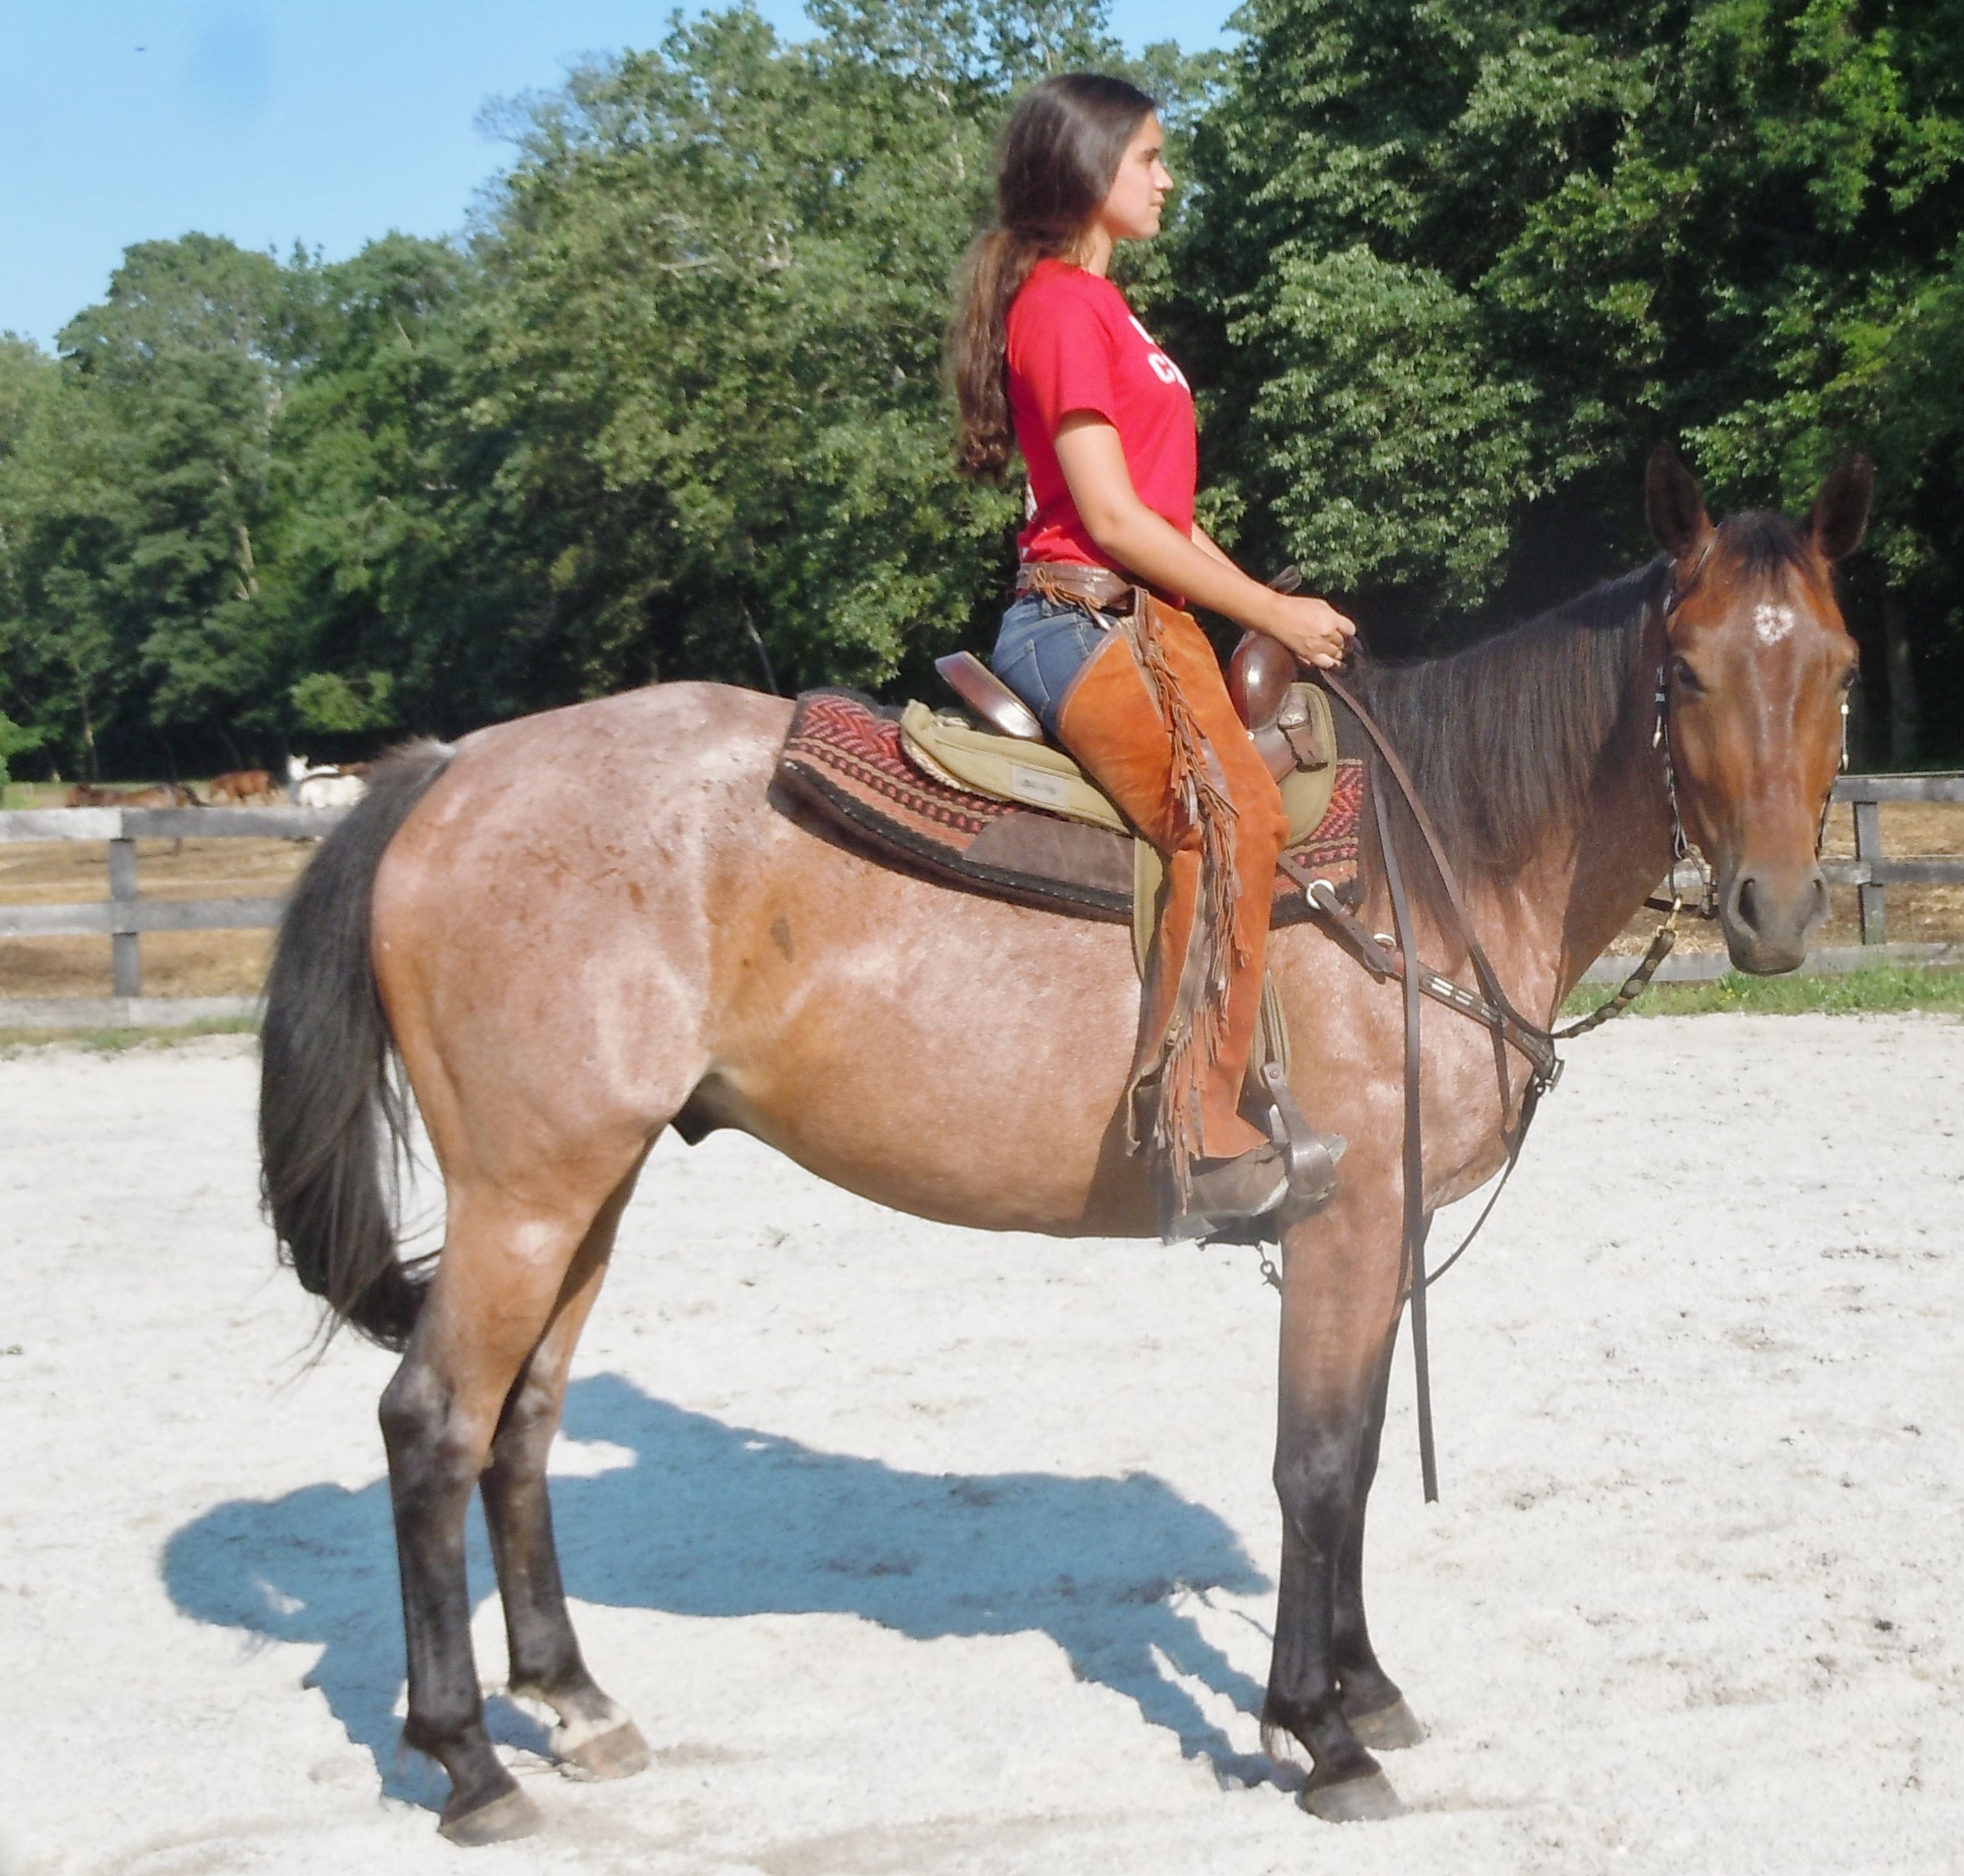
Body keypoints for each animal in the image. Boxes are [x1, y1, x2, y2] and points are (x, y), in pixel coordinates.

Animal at [259, 449, 1871, 1843]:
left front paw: (1364, 1689)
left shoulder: (1382, 1228)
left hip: (586, 1185)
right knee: (432, 1423)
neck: (1437, 858)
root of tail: (454, 766)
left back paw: (576, 1703)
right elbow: (1316, 1462)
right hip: (525, 1191)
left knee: (521, 1422)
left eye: (1841, 667)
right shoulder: (1342, 1218)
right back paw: (469, 1761)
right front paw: (1319, 1732)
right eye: (1687, 668)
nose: (1776, 909)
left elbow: (1344, 1455)